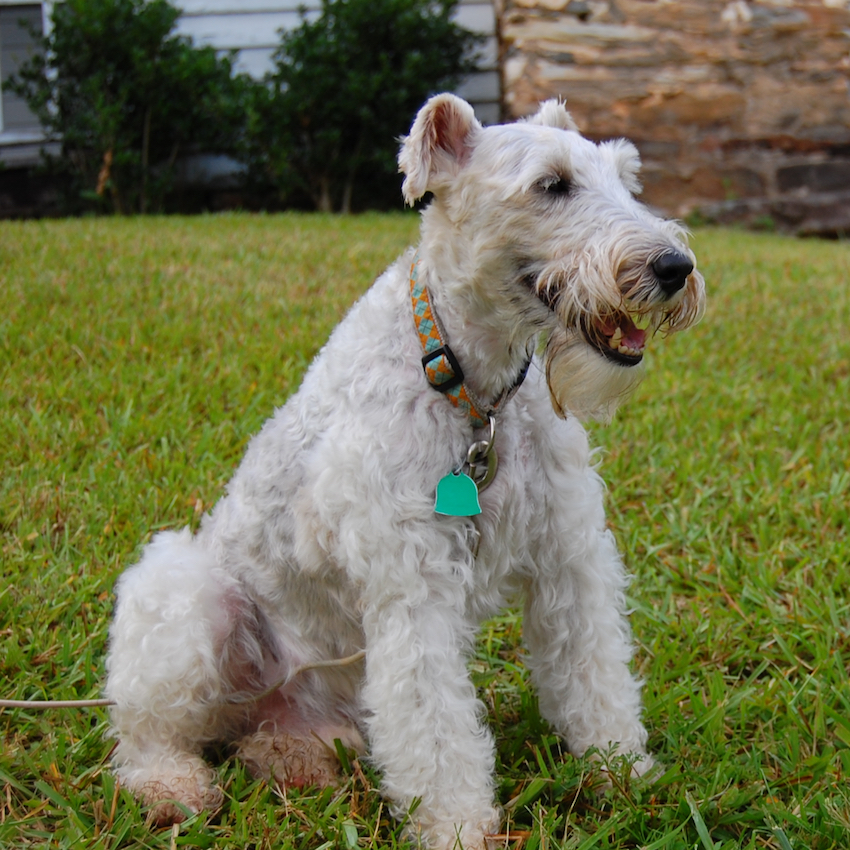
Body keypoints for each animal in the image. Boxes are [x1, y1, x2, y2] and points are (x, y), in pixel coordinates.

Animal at [104, 94, 704, 848]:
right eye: (552, 184)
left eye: (627, 180)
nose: (675, 267)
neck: (471, 387)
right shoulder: (412, 587)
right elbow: (434, 724)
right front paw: (458, 826)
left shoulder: (569, 559)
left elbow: (594, 675)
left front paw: (621, 774)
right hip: (186, 597)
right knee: (146, 732)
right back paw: (173, 788)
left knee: (266, 740)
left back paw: (296, 762)